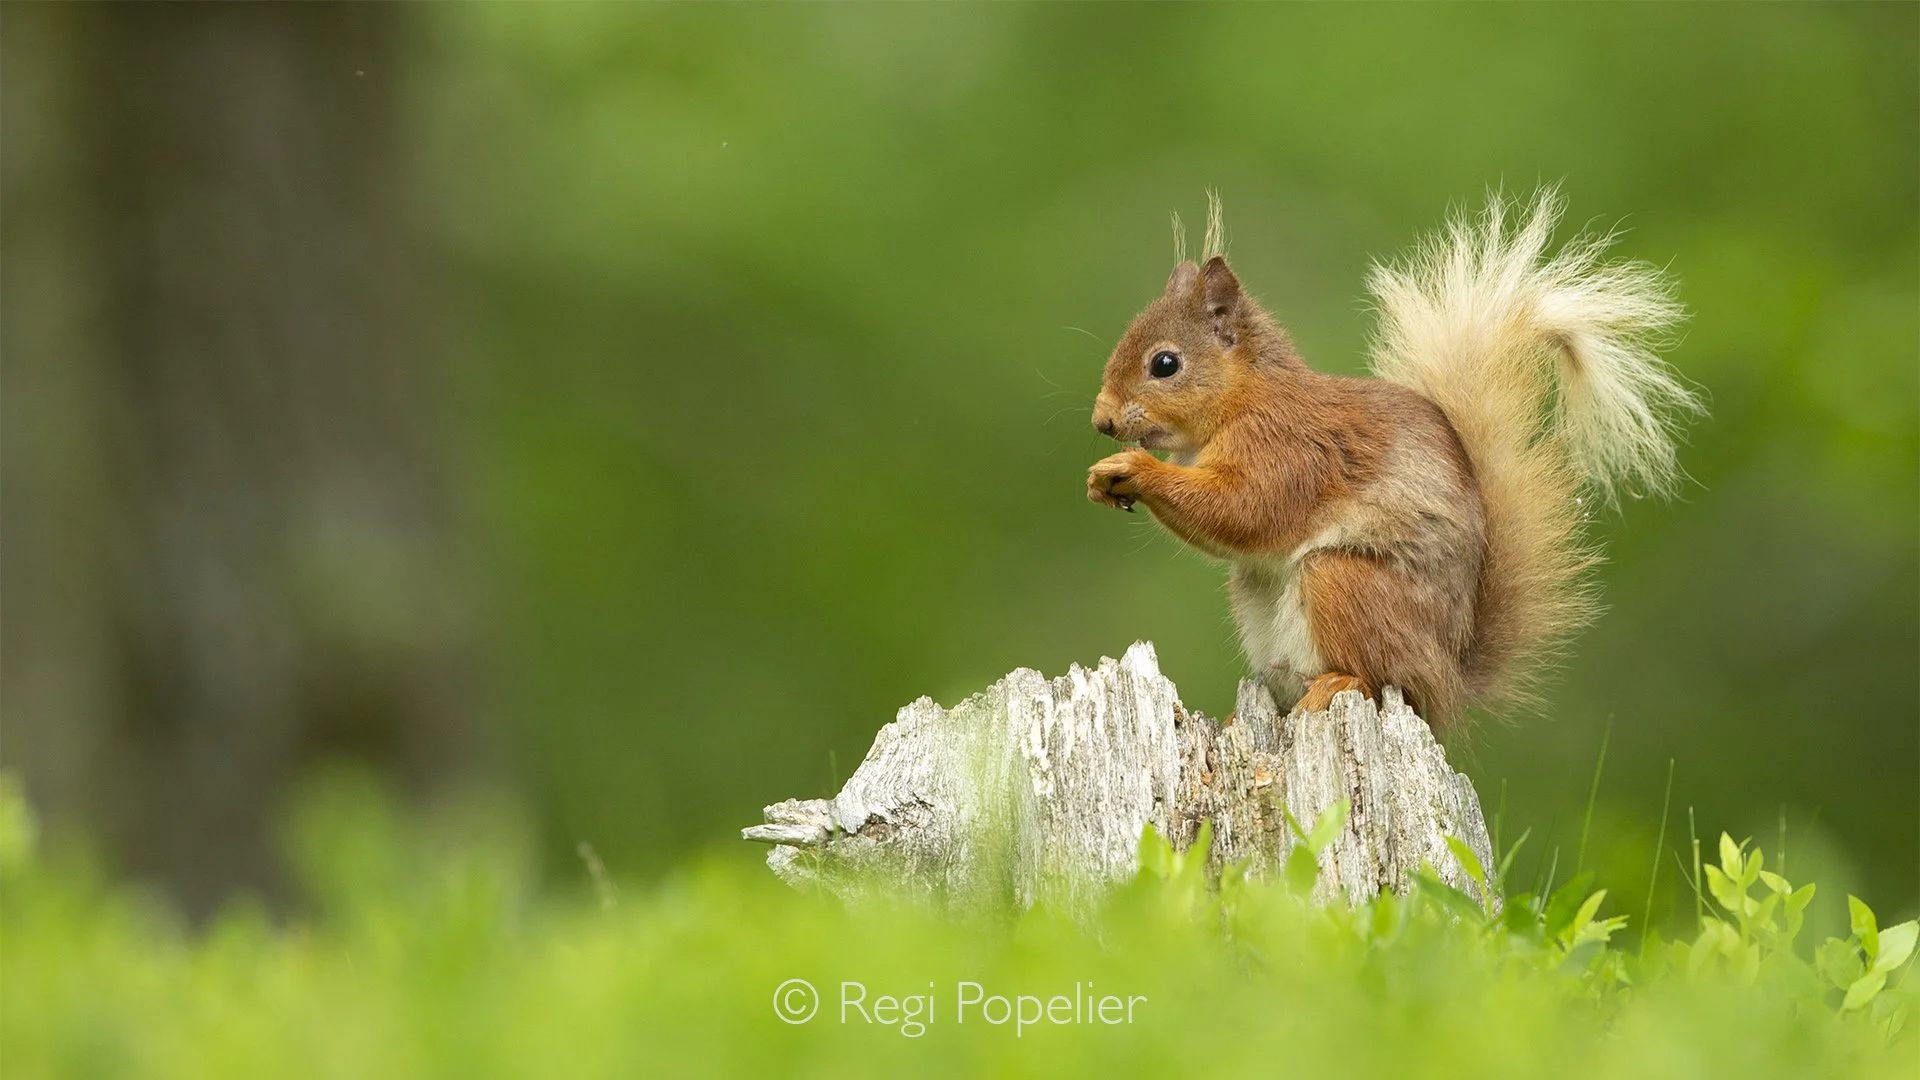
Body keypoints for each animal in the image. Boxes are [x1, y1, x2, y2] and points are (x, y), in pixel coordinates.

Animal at [1087, 190, 1701, 732]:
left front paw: (1133, 470)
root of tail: (1449, 677)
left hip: (1346, 584)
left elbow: (1248, 510)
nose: (1102, 421)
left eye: (1165, 364)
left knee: (1383, 679)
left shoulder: (1287, 448)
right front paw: (1101, 481)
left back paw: (1342, 682)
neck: (1241, 398)